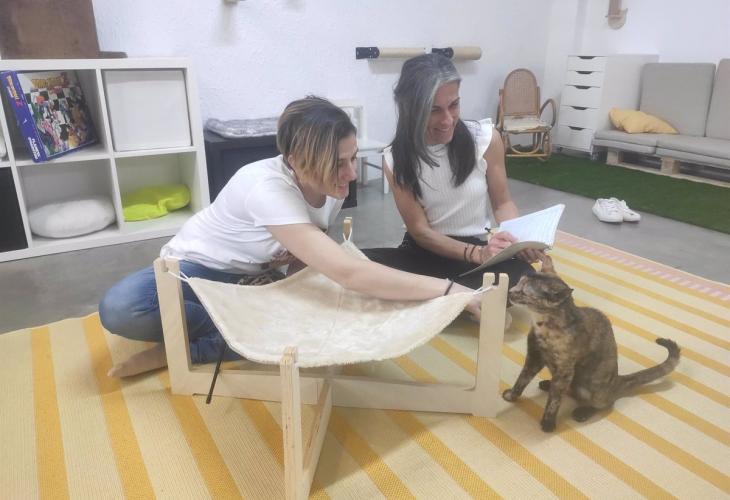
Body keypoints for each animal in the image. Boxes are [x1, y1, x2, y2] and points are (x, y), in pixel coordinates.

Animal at [502, 255, 680, 432]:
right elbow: (522, 379)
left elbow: (554, 400)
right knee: (565, 389)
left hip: (588, 387)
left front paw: (548, 422)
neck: (542, 325)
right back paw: (548, 384)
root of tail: (616, 381)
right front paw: (511, 395)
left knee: (604, 403)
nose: (509, 291)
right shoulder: (535, 356)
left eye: (523, 292)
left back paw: (582, 412)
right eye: (518, 283)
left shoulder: (565, 369)